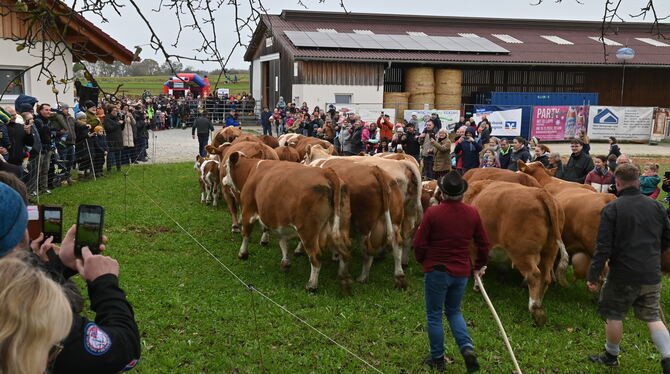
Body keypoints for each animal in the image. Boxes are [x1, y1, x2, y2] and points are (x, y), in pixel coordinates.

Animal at [224, 153, 354, 292]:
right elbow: (283, 241)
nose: (223, 179)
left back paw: (311, 286)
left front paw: (242, 254)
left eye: (226, 166)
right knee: (346, 250)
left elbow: (246, 234)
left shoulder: (248, 210)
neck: (251, 170)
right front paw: (285, 261)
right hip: (342, 225)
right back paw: (343, 276)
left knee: (316, 256)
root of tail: (326, 172)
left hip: (308, 230)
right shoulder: (280, 219)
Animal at [308, 156, 406, 288]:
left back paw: (363, 277)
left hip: (364, 226)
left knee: (367, 252)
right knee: (397, 244)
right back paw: (399, 276)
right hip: (395, 221)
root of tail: (376, 171)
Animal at [464, 180, 568, 324]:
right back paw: (538, 303)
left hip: (522, 253)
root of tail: (540, 193)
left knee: (534, 275)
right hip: (549, 251)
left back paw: (534, 308)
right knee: (545, 277)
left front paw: (477, 286)